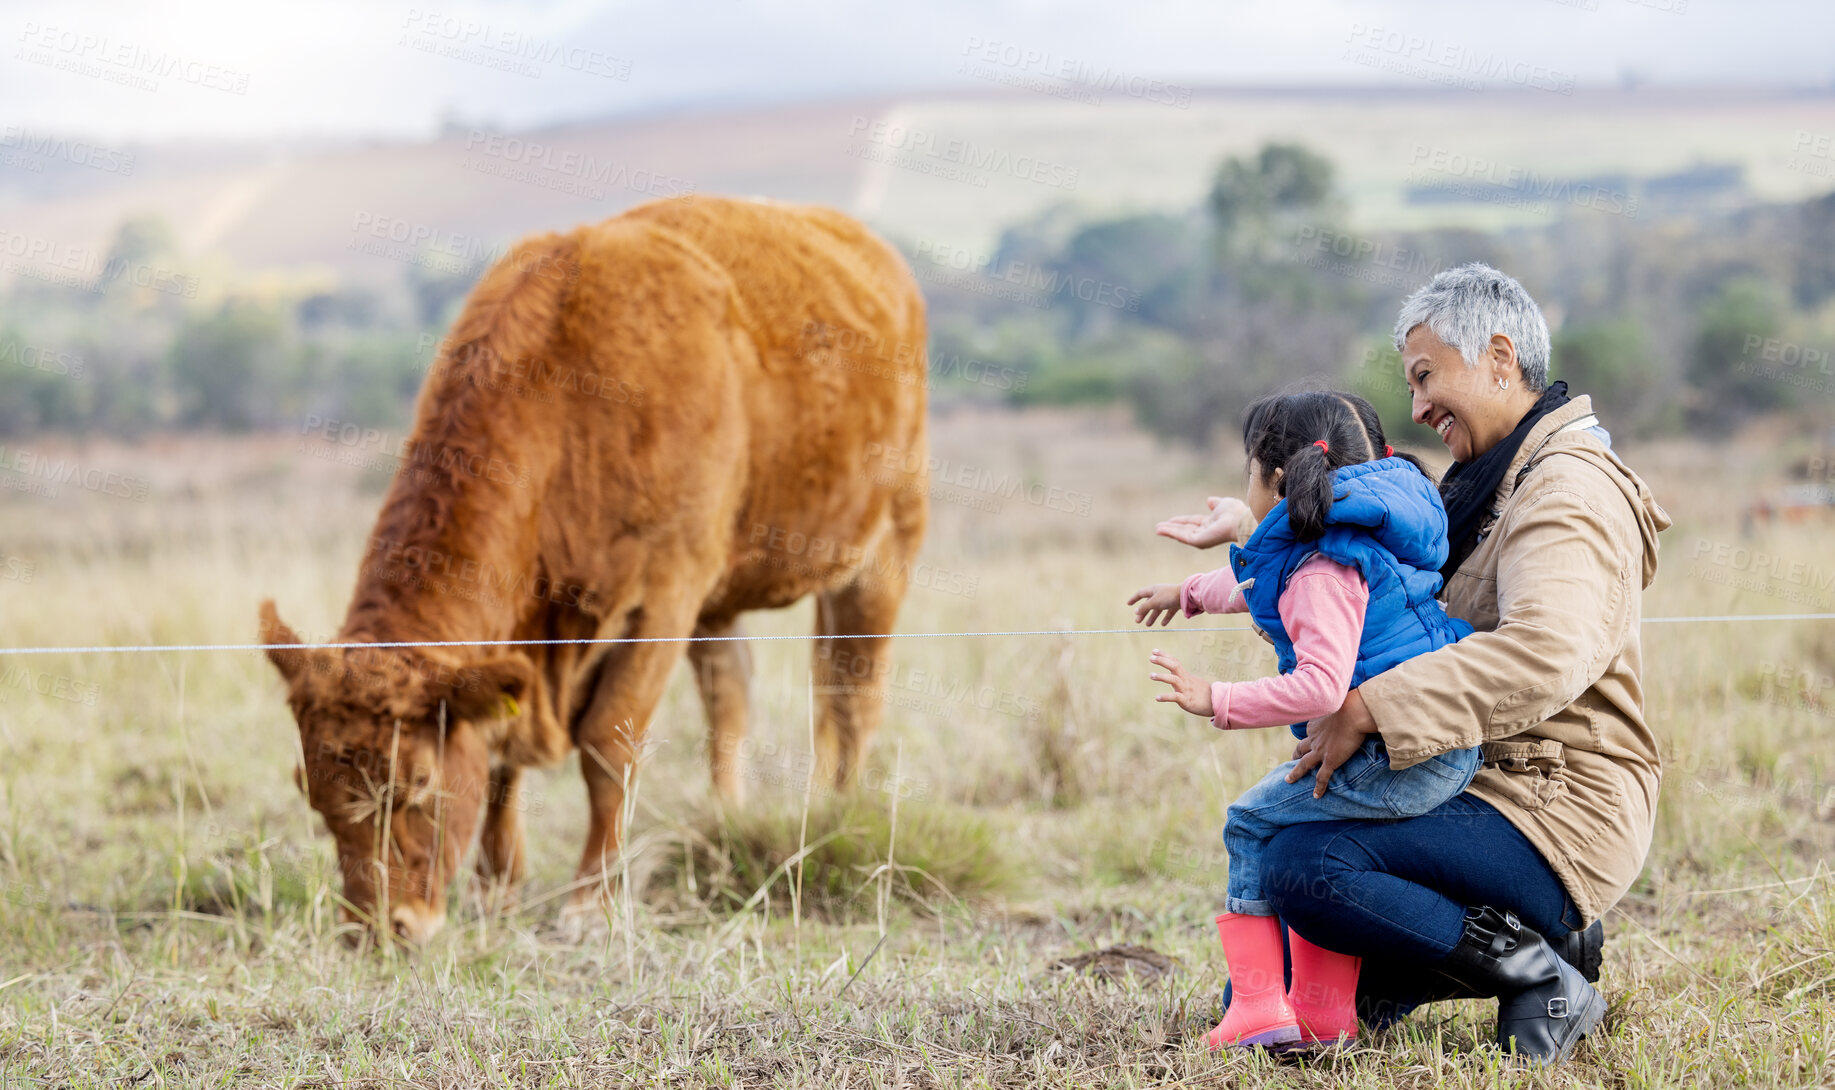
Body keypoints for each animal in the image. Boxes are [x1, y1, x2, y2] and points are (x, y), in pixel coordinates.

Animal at [258, 195, 932, 939]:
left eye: (419, 785)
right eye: (312, 793)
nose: (379, 927)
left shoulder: (663, 597)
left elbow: (610, 745)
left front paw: (589, 903)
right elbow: (502, 758)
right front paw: (498, 890)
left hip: (883, 550)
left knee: (851, 690)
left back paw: (839, 810)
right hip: (720, 596)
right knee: (731, 693)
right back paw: (726, 816)